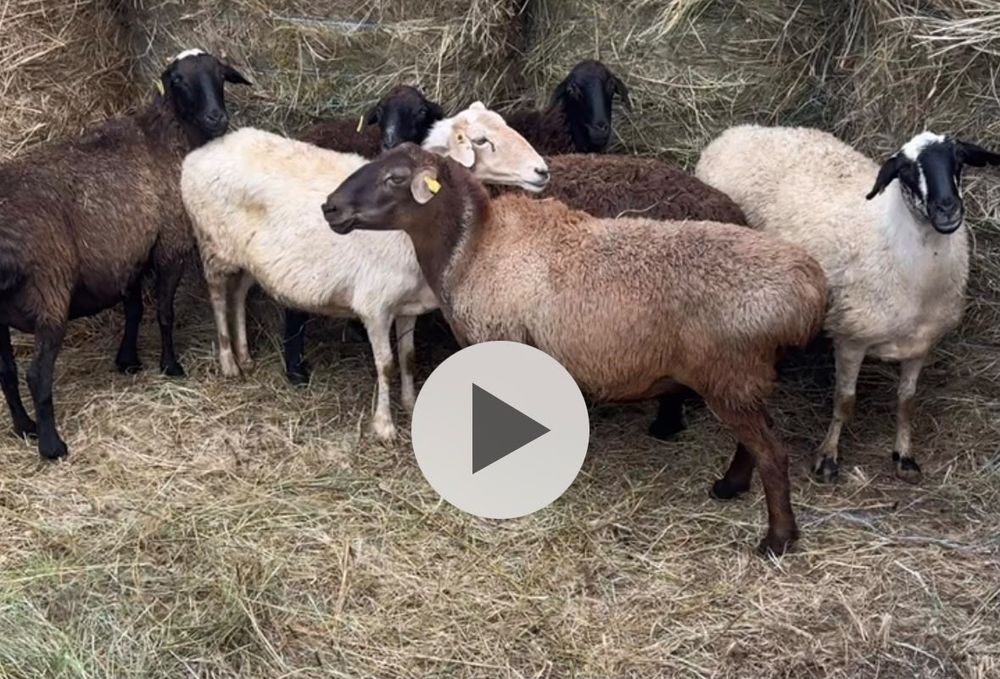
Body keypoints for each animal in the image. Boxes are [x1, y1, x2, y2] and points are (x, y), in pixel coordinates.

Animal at [0, 49, 249, 460]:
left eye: (220, 74)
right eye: (178, 80)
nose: (217, 117)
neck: (168, 136)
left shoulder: (129, 252)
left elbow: (134, 309)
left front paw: (128, 360)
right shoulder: (170, 245)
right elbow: (164, 313)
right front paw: (170, 365)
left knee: (5, 371)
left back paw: (24, 427)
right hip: (49, 293)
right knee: (36, 375)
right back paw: (52, 445)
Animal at [181, 103, 549, 441]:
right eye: (482, 140)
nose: (542, 171)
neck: (411, 233)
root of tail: (198, 154)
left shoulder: (408, 305)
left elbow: (408, 357)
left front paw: (410, 403)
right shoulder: (375, 306)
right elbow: (385, 364)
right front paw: (384, 426)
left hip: (244, 256)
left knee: (239, 294)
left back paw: (245, 357)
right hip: (213, 245)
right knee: (218, 297)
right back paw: (228, 362)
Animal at [322, 143, 828, 556]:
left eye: (394, 178)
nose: (329, 207)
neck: (475, 247)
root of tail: (809, 289)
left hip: (730, 374)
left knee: (772, 454)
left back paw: (777, 540)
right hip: (743, 379)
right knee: (756, 441)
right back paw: (729, 486)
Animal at [695, 125, 1000, 483]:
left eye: (959, 159)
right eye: (906, 171)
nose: (947, 209)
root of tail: (734, 132)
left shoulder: (921, 346)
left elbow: (907, 402)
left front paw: (904, 456)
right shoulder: (851, 338)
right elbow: (845, 401)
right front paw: (828, 457)